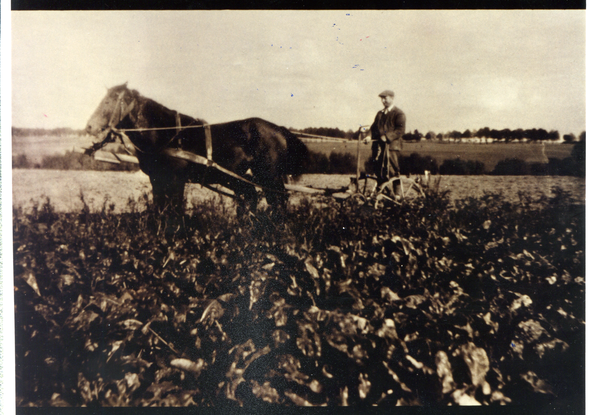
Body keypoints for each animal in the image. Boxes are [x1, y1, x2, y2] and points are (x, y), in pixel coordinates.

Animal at [85, 84, 310, 214]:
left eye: (108, 101)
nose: (89, 127)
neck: (165, 134)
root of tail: (279, 129)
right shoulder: (157, 178)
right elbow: (160, 208)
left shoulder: (175, 178)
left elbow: (174, 208)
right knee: (254, 198)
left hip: (269, 176)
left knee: (277, 201)